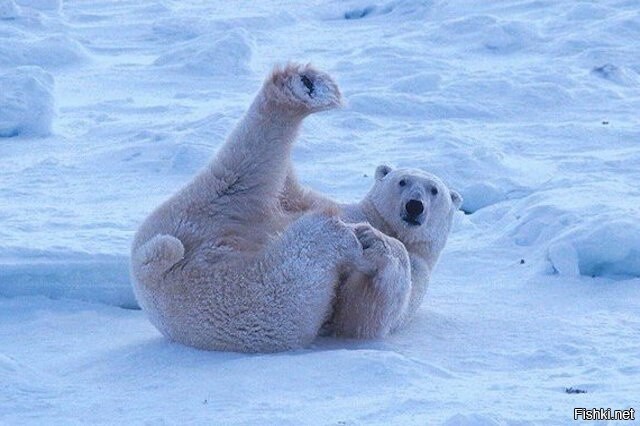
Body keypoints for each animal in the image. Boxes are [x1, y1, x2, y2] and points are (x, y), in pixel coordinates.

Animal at [130, 62, 460, 350]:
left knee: (288, 270)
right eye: (403, 181)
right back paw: (306, 86)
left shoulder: (420, 269)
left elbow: (363, 315)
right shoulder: (314, 200)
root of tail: (157, 277)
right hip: (196, 214)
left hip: (249, 303)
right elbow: (289, 192)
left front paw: (374, 242)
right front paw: (369, 236)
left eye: (434, 191)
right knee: (243, 173)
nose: (415, 206)